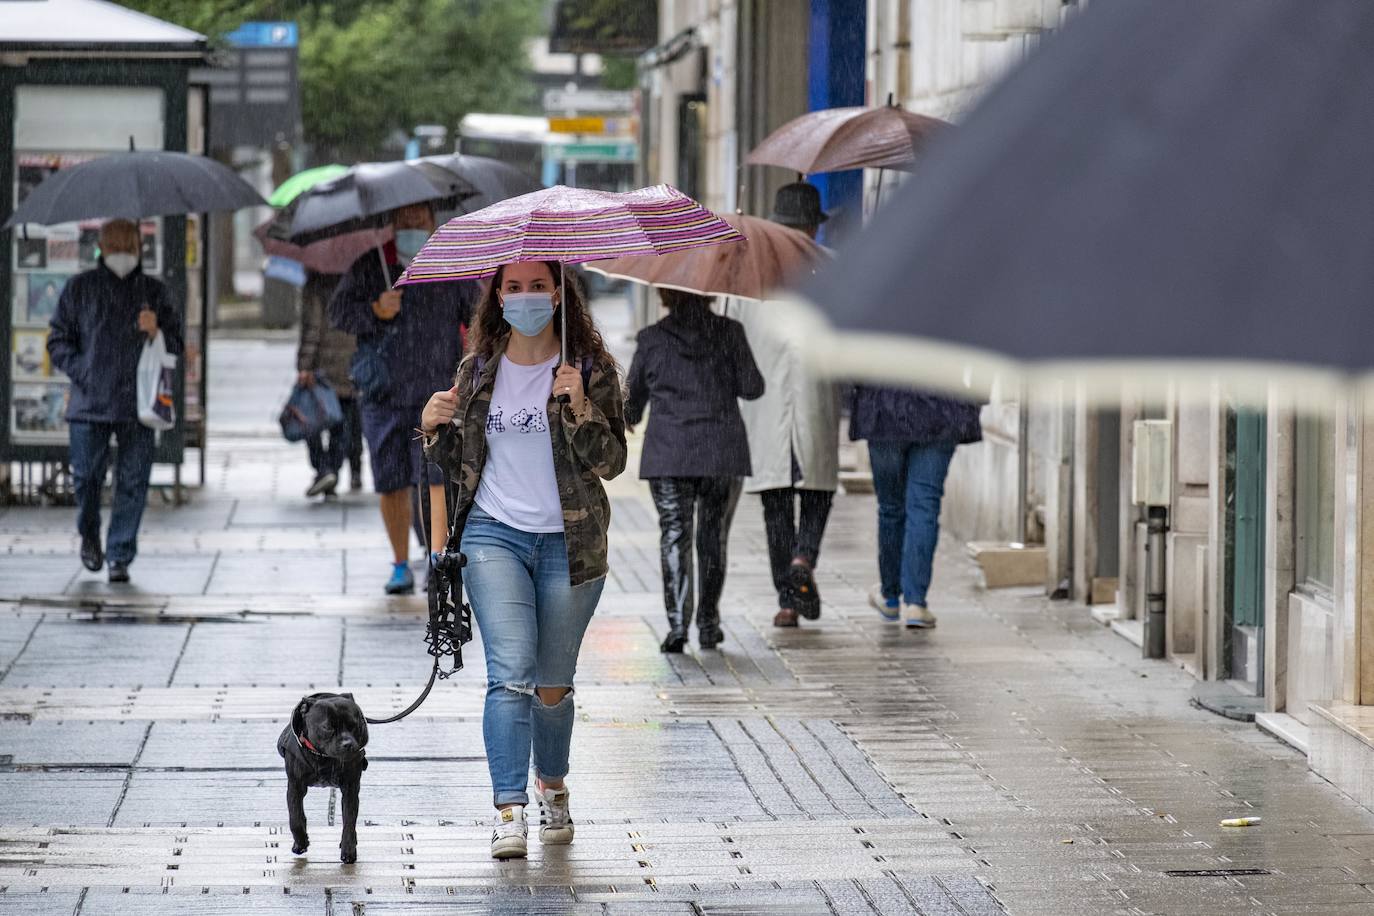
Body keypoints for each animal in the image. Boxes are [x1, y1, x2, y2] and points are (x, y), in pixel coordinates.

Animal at [273, 697, 368, 862]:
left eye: (354, 725)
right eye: (328, 727)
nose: (348, 744)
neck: (324, 757)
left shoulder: (350, 790)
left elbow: (349, 821)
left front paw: (348, 850)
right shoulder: (295, 786)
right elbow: (295, 818)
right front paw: (301, 842)